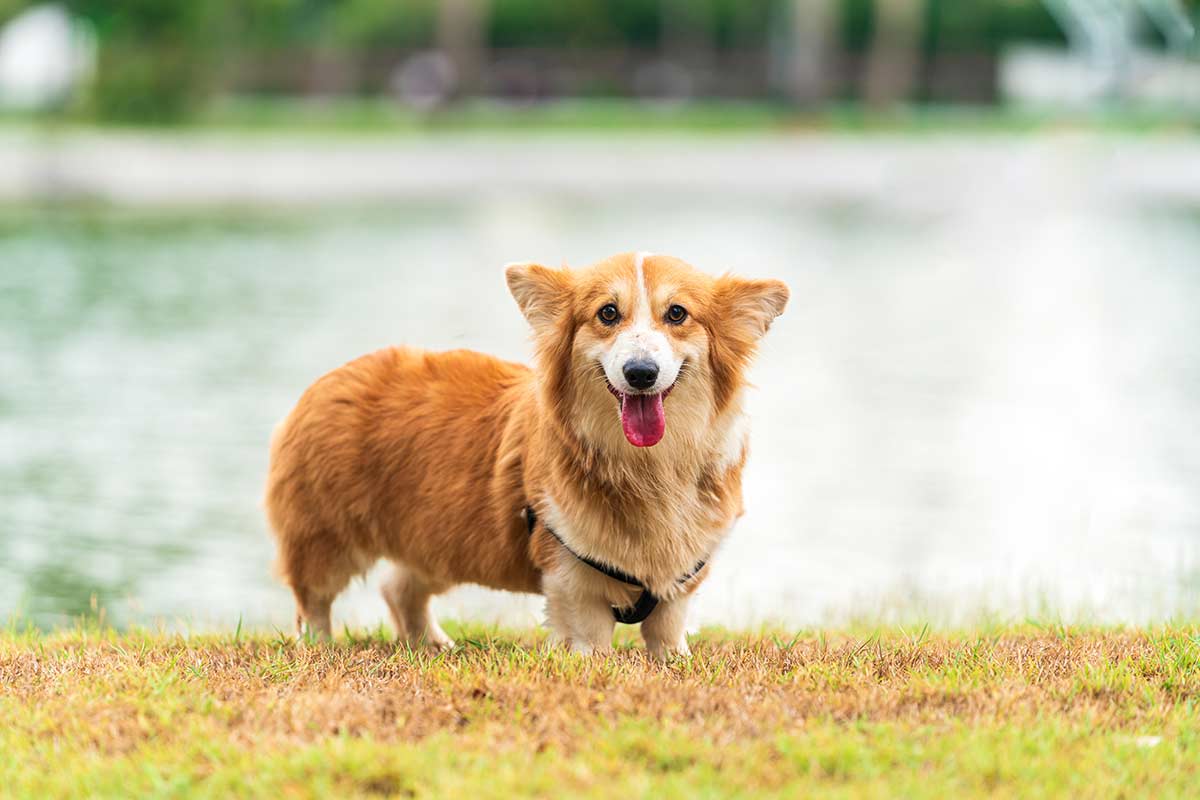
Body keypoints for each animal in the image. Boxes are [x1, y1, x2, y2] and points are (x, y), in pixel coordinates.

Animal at [265, 255, 787, 657]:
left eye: (677, 313)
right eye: (608, 313)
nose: (641, 373)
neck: (647, 467)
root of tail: (333, 377)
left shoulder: (682, 579)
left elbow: (667, 633)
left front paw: (674, 662)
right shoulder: (570, 575)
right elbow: (590, 637)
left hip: (434, 541)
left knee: (399, 589)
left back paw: (432, 644)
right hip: (327, 540)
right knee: (313, 600)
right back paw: (321, 647)